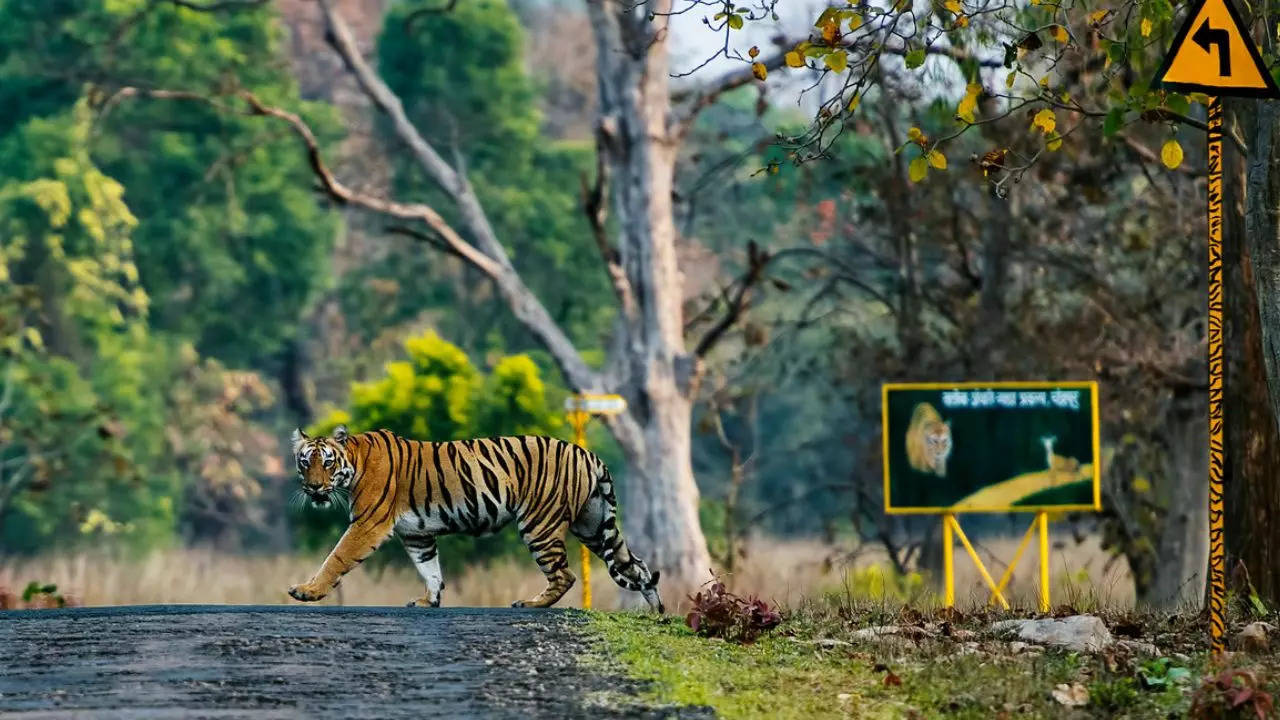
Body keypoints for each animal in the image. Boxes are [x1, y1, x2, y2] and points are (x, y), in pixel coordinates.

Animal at [286, 422, 665, 607]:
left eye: (327, 463)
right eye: (305, 463)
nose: (314, 488)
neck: (354, 463)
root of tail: (588, 454)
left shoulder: (368, 524)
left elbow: (336, 557)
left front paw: (307, 591)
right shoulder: (417, 534)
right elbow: (430, 569)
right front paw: (429, 601)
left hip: (540, 525)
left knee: (565, 575)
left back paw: (530, 604)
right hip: (594, 525)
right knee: (636, 565)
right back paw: (657, 611)